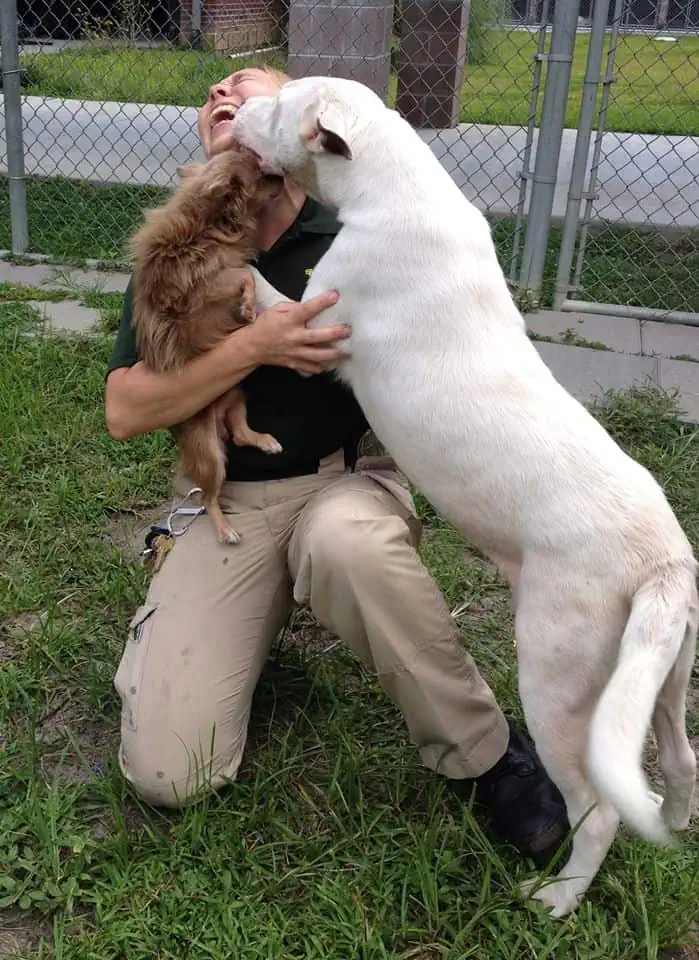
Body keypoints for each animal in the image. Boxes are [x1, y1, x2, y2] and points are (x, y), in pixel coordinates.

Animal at [130, 147, 284, 544]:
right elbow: (243, 273)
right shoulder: (204, 289)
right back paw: (225, 529)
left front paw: (249, 306)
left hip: (237, 395)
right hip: (212, 456)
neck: (212, 222)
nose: (281, 176)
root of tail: (217, 420)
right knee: (210, 497)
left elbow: (244, 270)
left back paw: (264, 440)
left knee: (242, 435)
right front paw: (248, 307)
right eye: (260, 175)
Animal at [232, 75, 696, 916]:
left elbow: (255, 281)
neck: (391, 183)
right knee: (679, 762)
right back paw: (675, 833)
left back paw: (557, 899)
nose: (231, 102)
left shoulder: (309, 321)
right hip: (660, 675)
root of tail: (663, 560)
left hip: (555, 682)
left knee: (600, 808)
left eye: (278, 107)